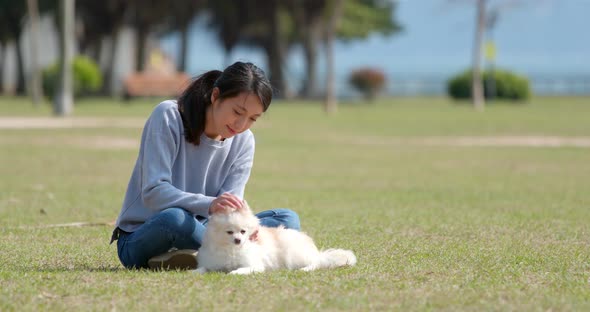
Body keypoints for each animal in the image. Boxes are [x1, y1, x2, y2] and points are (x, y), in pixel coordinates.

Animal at [197, 204, 358, 274]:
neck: (230, 249)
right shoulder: (213, 262)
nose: (238, 240)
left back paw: (305, 269)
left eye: (243, 232)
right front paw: (193, 272)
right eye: (229, 232)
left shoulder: (255, 265)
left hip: (294, 254)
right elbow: (203, 268)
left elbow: (242, 269)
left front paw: (234, 272)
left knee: (316, 263)